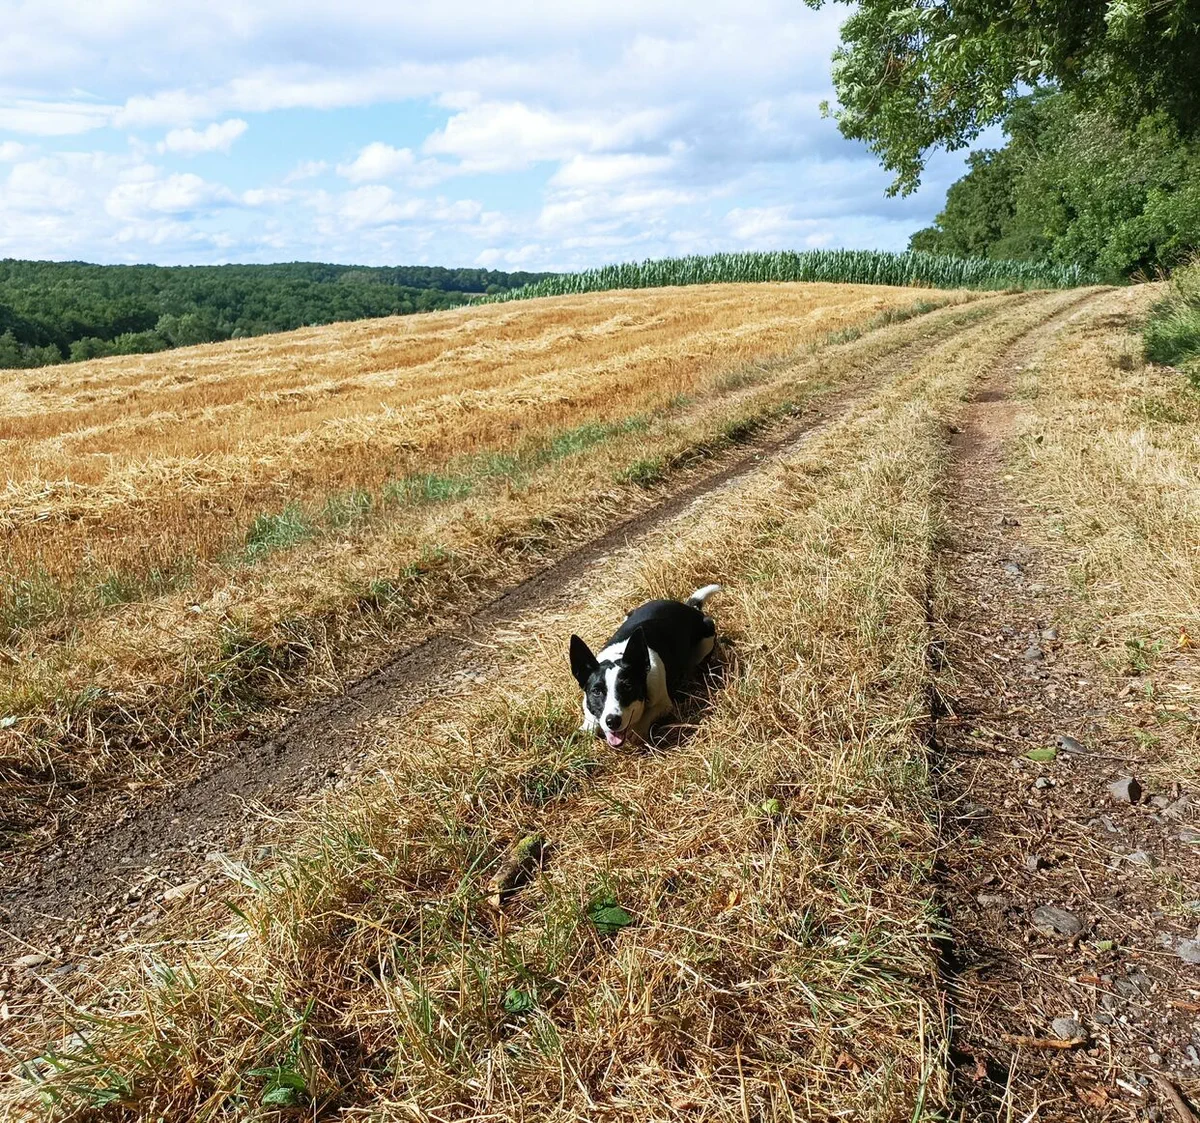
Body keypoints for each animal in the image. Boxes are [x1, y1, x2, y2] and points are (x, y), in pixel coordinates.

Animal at [569, 584, 722, 747]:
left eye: (628, 687)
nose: (613, 721)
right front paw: (588, 726)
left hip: (706, 639)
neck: (619, 655)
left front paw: (637, 730)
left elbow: (648, 716)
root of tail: (690, 607)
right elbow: (589, 717)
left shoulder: (664, 704)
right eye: (596, 691)